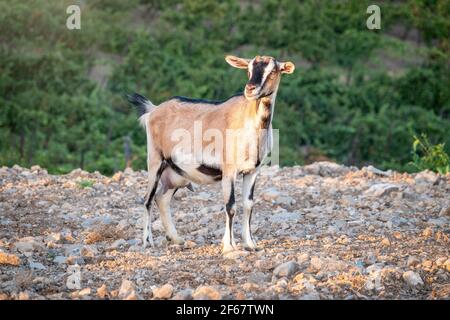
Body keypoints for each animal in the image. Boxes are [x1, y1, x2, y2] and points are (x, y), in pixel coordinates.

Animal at [126, 55, 296, 255]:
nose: (250, 89)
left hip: (176, 175)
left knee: (162, 198)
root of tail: (152, 110)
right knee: (148, 199)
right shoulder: (229, 170)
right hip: (155, 160)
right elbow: (231, 206)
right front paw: (229, 246)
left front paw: (250, 244)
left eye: (273, 71)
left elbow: (248, 205)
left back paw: (176, 238)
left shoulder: (252, 171)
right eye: (248, 70)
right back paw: (148, 241)